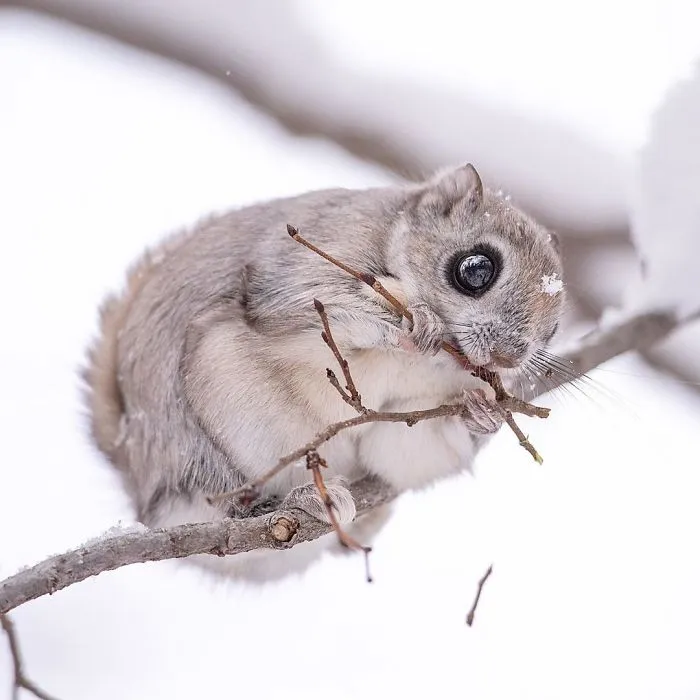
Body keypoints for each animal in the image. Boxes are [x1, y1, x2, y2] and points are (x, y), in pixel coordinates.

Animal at [83, 164, 564, 580]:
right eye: (477, 268)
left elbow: (407, 447)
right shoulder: (306, 264)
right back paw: (306, 499)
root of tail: (141, 483)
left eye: (555, 327)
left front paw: (478, 412)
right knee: (225, 510)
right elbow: (315, 306)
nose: (507, 358)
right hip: (230, 423)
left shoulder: (410, 416)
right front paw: (418, 322)